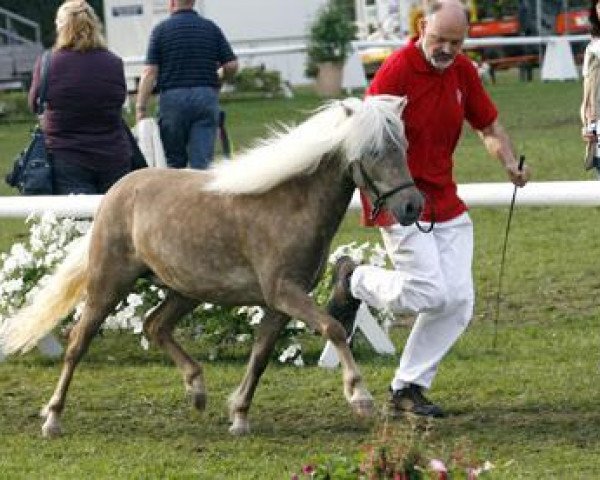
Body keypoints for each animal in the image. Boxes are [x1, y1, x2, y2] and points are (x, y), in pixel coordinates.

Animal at [0, 94, 422, 438]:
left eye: (403, 146)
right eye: (373, 151)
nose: (412, 206)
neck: (291, 204)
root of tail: (116, 192)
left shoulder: (279, 303)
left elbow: (260, 355)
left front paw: (239, 416)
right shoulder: (284, 292)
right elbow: (333, 328)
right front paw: (360, 397)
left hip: (184, 290)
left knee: (155, 325)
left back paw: (197, 390)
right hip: (109, 285)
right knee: (78, 343)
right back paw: (53, 418)